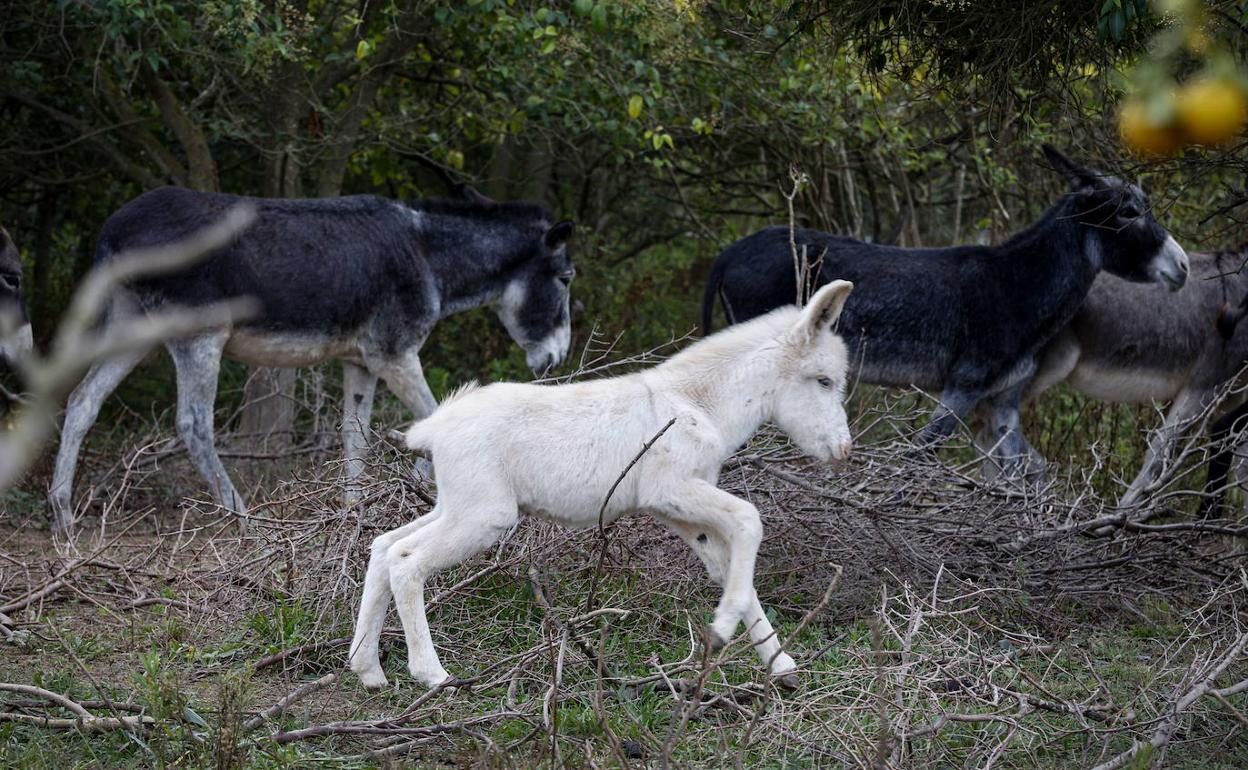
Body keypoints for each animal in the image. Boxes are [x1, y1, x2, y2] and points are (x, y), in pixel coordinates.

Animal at [351, 279, 858, 688]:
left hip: (454, 506)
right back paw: (432, 674)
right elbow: (750, 519)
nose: (843, 451)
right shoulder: (673, 489)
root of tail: (432, 429)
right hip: (485, 516)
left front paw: (781, 665)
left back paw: (368, 671)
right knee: (407, 560)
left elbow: (726, 561)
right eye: (824, 380)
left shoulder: (678, 511)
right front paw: (725, 626)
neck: (700, 404)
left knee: (384, 546)